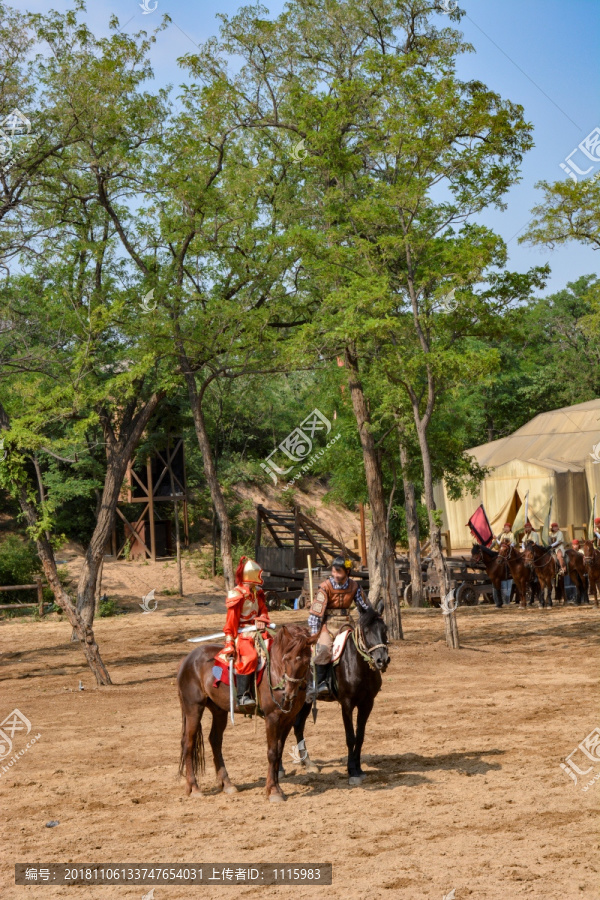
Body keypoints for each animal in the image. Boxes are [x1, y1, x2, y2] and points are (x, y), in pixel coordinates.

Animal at [177, 624, 318, 800]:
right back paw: (194, 788)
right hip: (193, 708)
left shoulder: (288, 719)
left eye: (306, 661)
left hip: (219, 711)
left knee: (215, 740)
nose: (288, 694)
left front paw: (276, 787)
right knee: (188, 744)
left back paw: (227, 784)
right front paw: (273, 791)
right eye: (286, 659)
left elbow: (279, 752)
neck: (275, 672)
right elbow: (272, 752)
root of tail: (187, 660)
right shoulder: (272, 718)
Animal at [290, 604, 392, 788]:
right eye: (366, 630)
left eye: (385, 629)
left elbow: (360, 736)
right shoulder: (347, 704)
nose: (382, 660)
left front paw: (359, 768)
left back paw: (307, 763)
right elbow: (350, 737)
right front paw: (352, 771)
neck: (358, 664)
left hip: (305, 702)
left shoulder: (367, 704)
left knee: (298, 726)